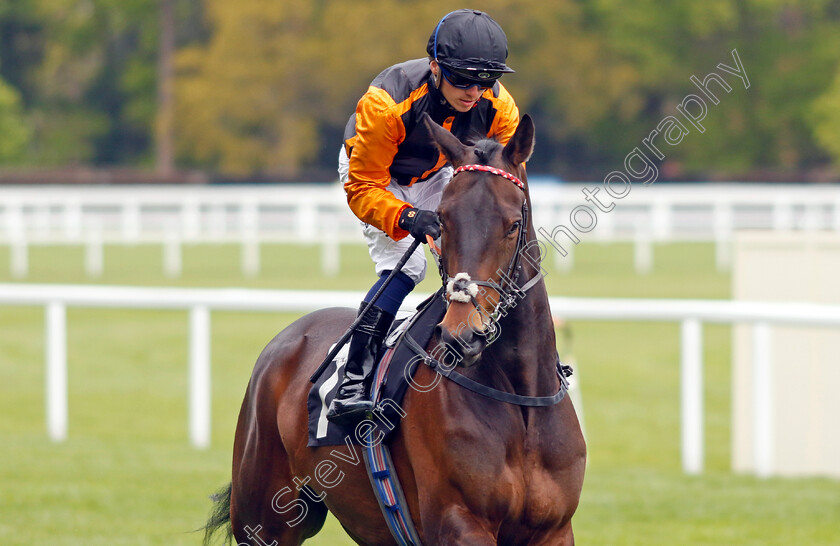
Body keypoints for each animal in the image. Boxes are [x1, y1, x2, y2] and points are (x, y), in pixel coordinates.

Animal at [203, 112, 584, 540]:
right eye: (442, 222)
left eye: (513, 223)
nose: (462, 335)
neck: (520, 401)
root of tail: (287, 337)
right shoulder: (459, 520)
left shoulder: (554, 529)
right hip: (265, 518)